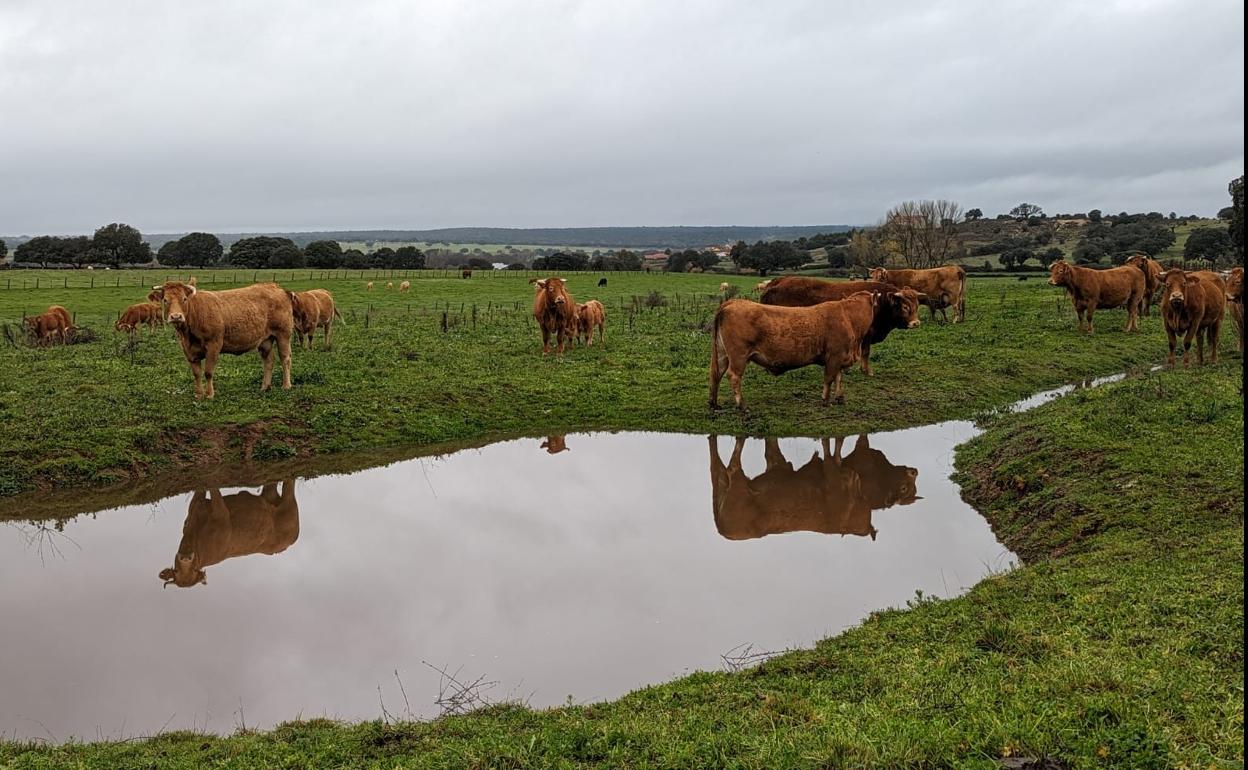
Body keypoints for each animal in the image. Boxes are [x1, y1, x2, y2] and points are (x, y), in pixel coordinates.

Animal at [158, 479, 299, 589]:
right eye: (176, 571)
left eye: (194, 570)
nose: (186, 558)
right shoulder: (196, 505)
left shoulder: (222, 514)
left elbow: (213, 488)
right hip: (269, 496)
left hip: (289, 508)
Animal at [708, 287, 923, 409]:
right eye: (904, 307)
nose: (916, 323)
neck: (849, 317)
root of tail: (732, 302)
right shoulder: (834, 356)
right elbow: (829, 377)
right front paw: (825, 400)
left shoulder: (841, 356)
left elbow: (839, 378)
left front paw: (840, 398)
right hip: (738, 356)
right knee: (734, 376)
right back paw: (741, 405)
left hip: (722, 354)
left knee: (716, 375)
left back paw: (714, 403)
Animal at [753, 275, 923, 374]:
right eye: (905, 306)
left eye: (917, 305)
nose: (916, 323)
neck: (882, 301)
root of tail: (777, 282)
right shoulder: (867, 334)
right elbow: (866, 353)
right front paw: (867, 371)